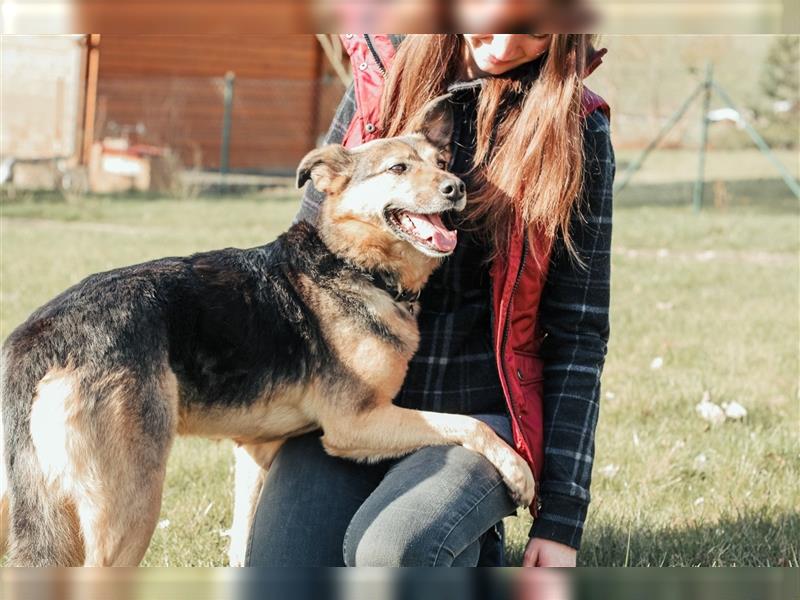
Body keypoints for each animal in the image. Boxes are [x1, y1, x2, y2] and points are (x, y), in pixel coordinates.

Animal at [1, 96, 536, 564]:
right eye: (398, 169)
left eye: (441, 162)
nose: (456, 188)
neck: (354, 263)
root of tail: (38, 337)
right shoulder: (356, 423)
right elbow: (467, 425)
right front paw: (519, 471)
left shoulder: (256, 452)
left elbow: (243, 545)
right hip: (128, 509)